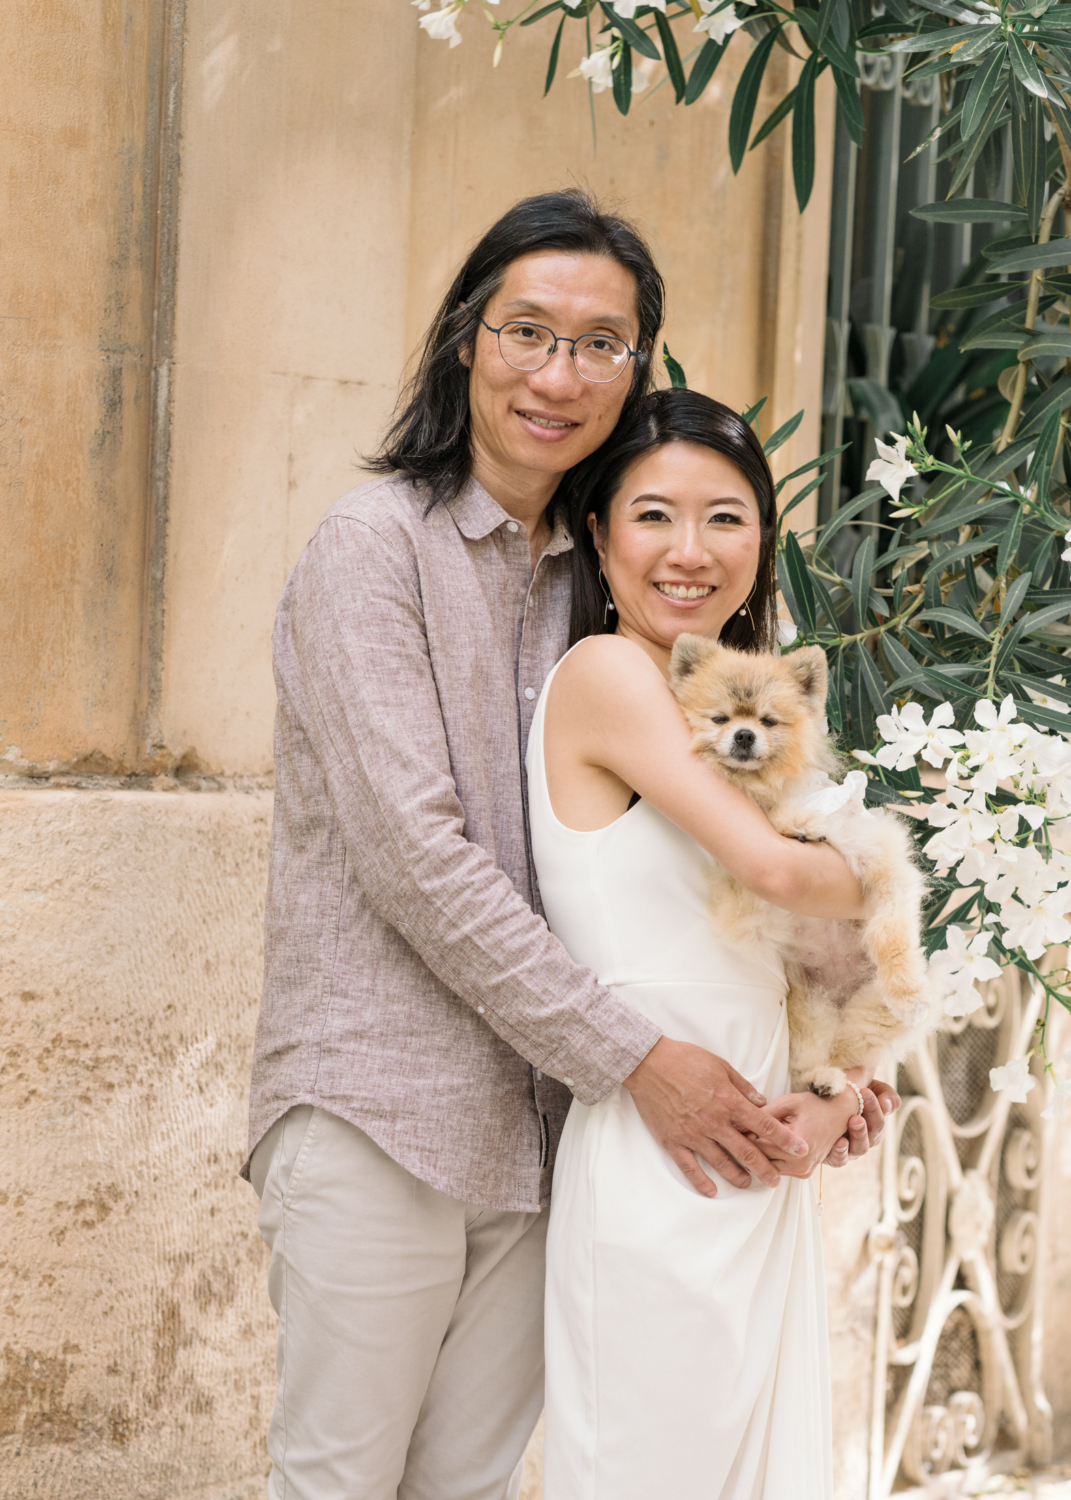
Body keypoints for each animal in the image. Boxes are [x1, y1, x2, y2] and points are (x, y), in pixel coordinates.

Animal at [663, 636, 930, 1104]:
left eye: (768, 721)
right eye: (720, 718)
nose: (744, 734)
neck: (766, 788)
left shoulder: (877, 856)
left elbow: (890, 934)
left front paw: (908, 990)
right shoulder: (750, 900)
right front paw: (795, 823)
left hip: (869, 1012)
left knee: (849, 1049)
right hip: (810, 1010)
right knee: (817, 1056)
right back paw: (821, 1081)